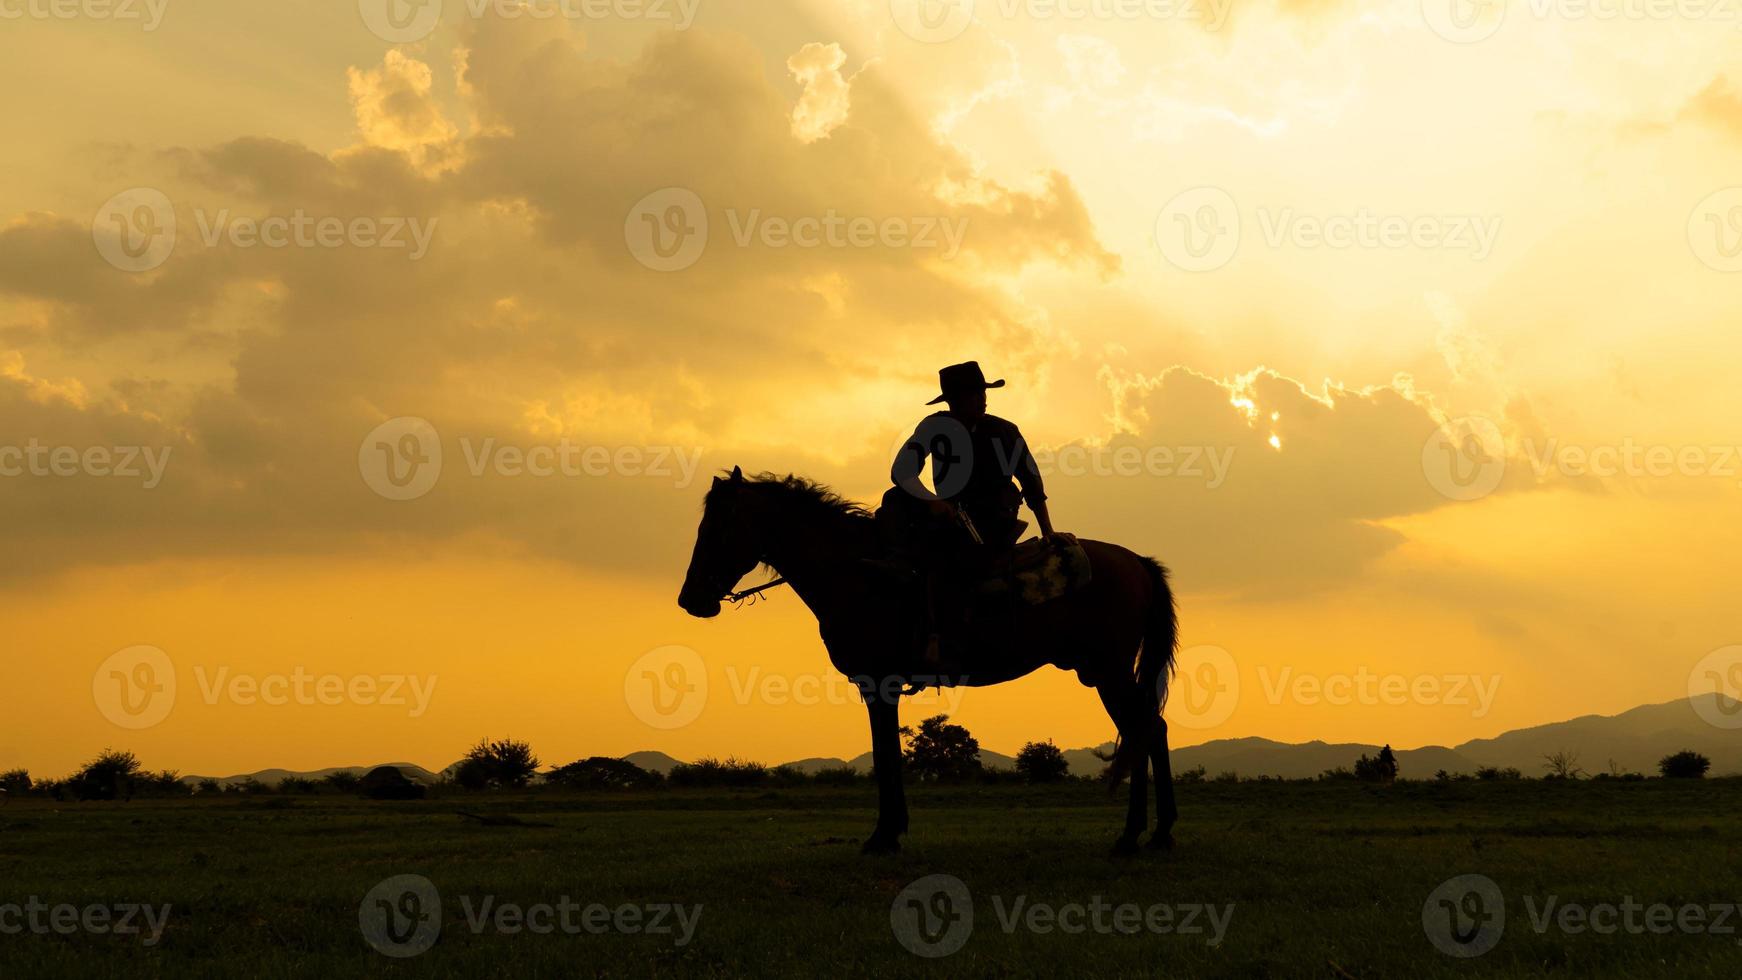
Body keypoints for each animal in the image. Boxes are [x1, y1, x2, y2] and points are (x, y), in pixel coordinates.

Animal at [672, 466, 1177, 859]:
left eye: (716, 529)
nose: (690, 599)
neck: (858, 573)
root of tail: (1136, 561)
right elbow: (889, 754)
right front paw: (891, 832)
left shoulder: (878, 684)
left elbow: (885, 756)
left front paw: (883, 837)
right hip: (1105, 671)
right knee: (1149, 730)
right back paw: (1156, 835)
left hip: (1110, 670)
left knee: (1145, 729)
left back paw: (1134, 836)